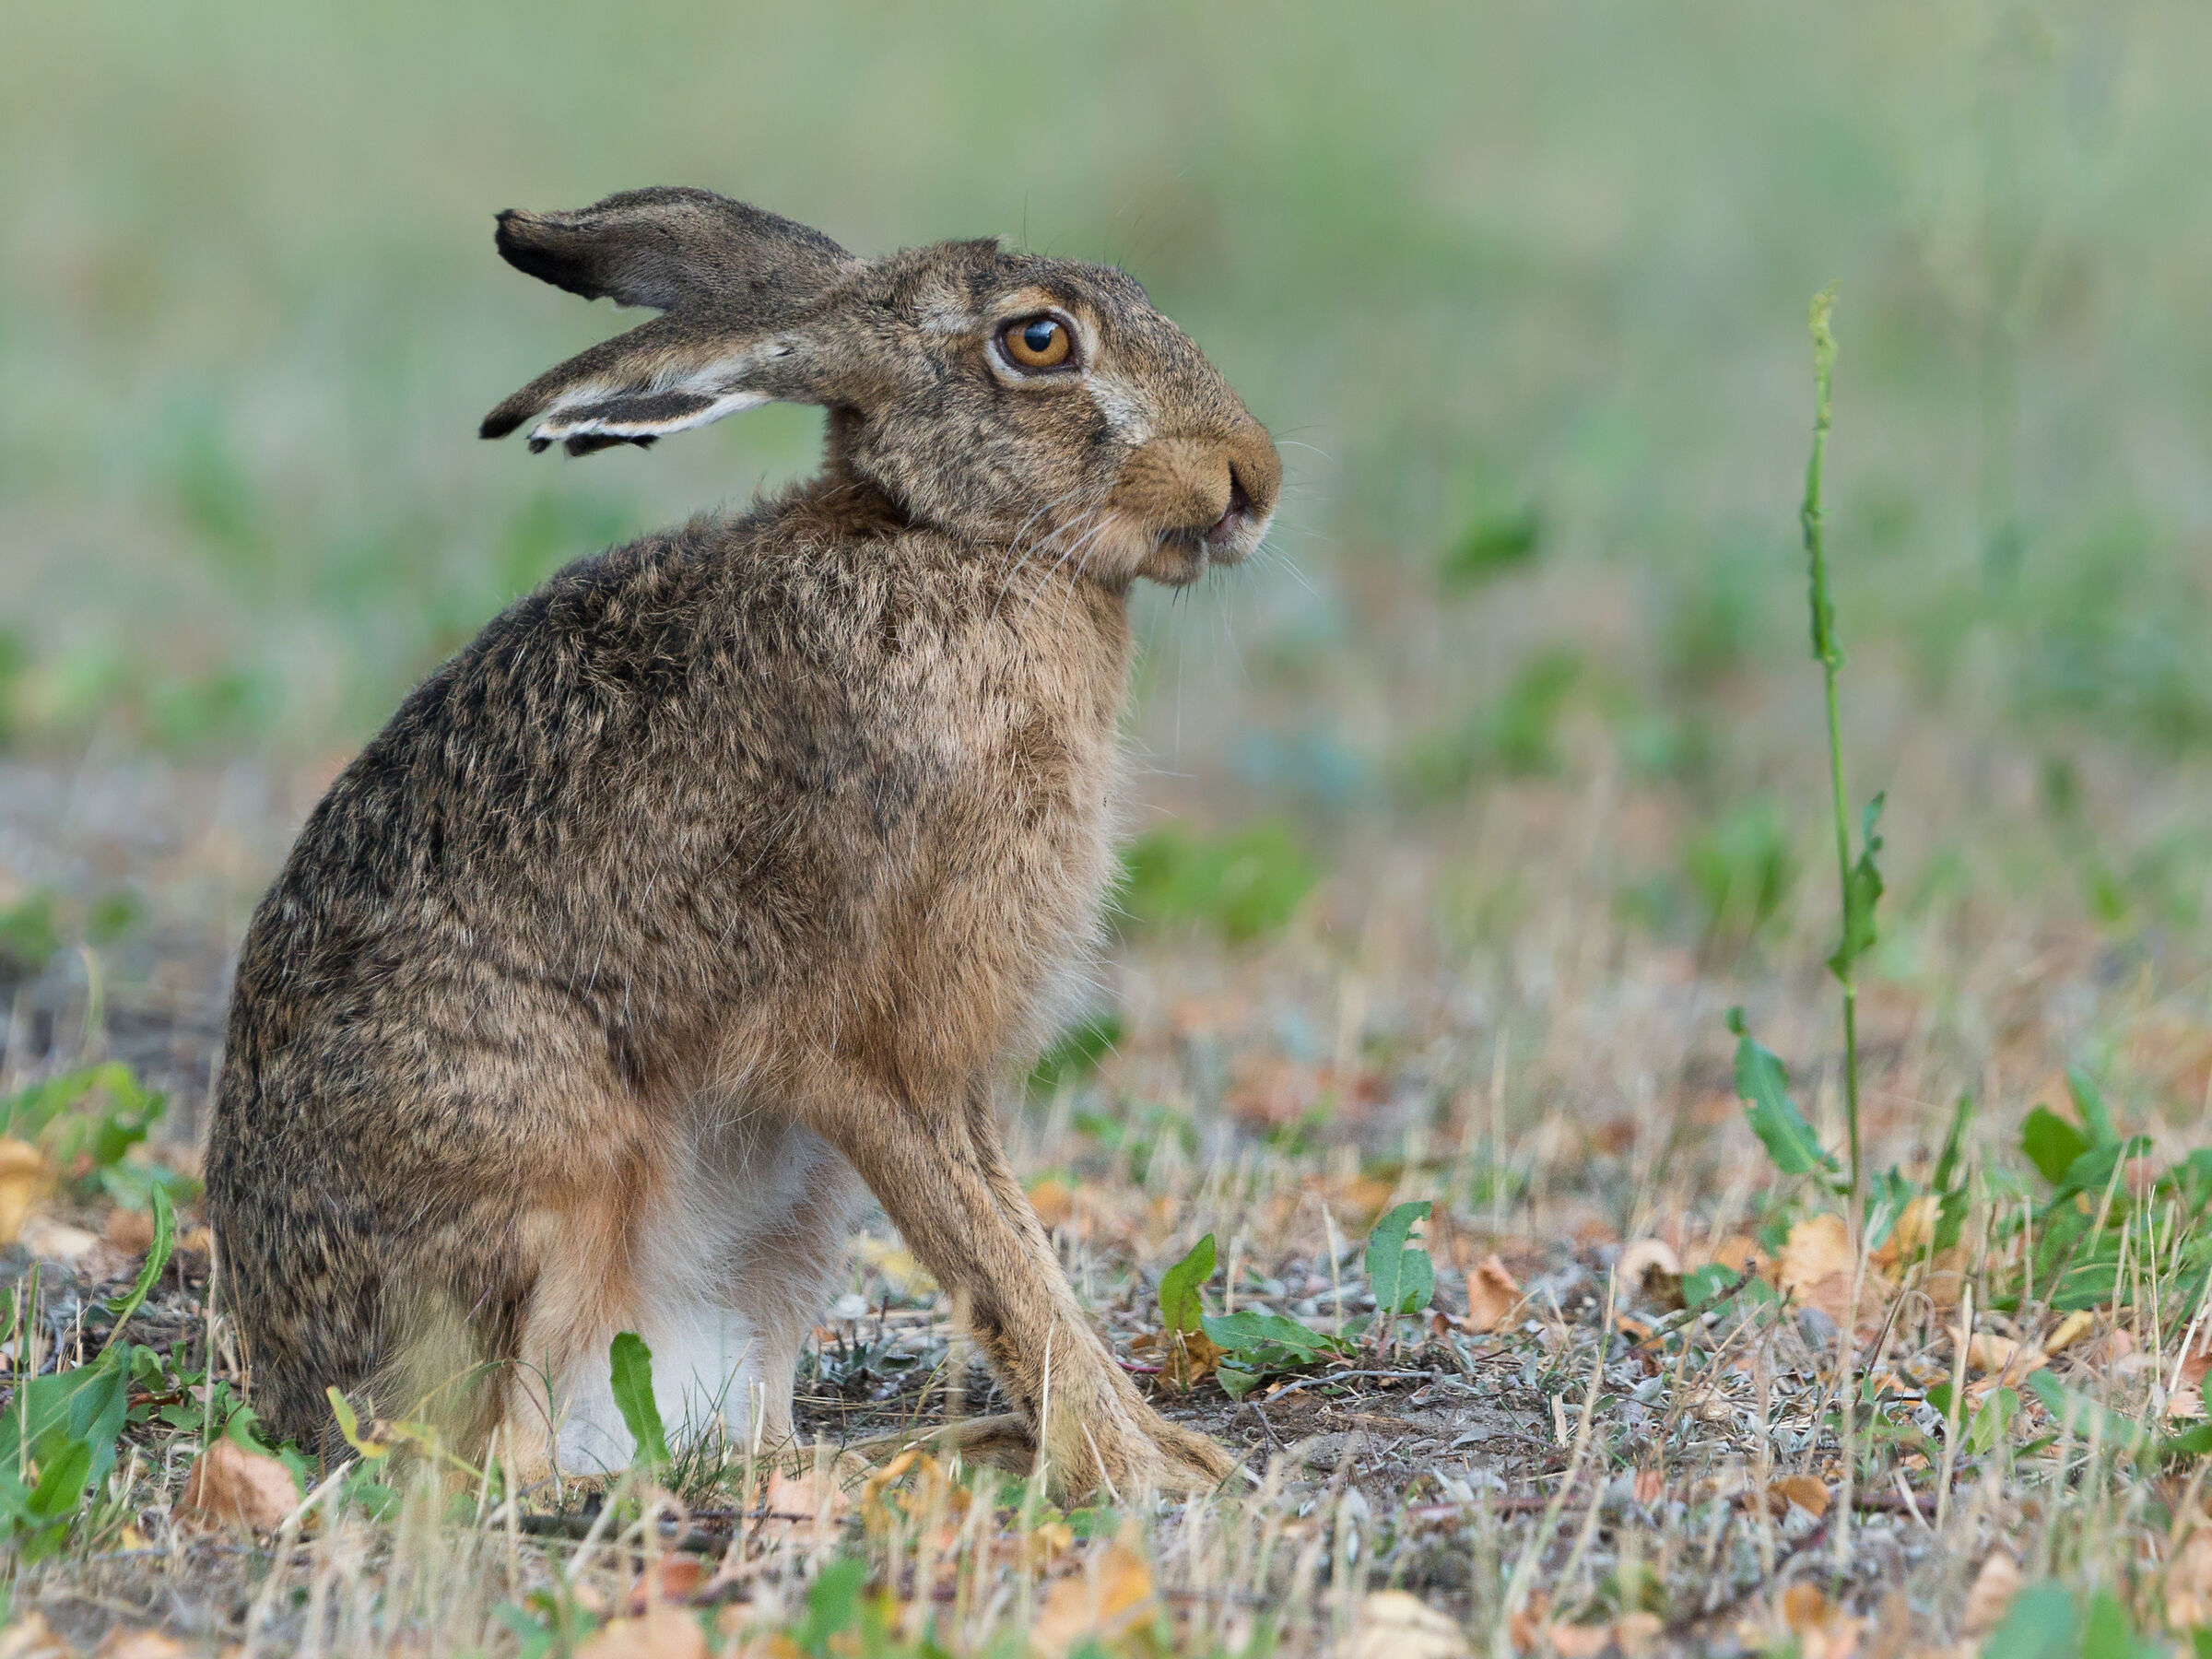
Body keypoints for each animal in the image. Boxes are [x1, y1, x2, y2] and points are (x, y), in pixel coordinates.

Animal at [204, 186, 1280, 1499]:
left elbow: (1010, 1243)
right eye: (1039, 341)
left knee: (739, 1434)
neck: (952, 541)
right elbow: (995, 1258)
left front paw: (1157, 1452)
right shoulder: (884, 1052)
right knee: (507, 1469)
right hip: (538, 1177)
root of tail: (300, 1394)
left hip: (787, 1220)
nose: (1251, 478)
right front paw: (1137, 1469)